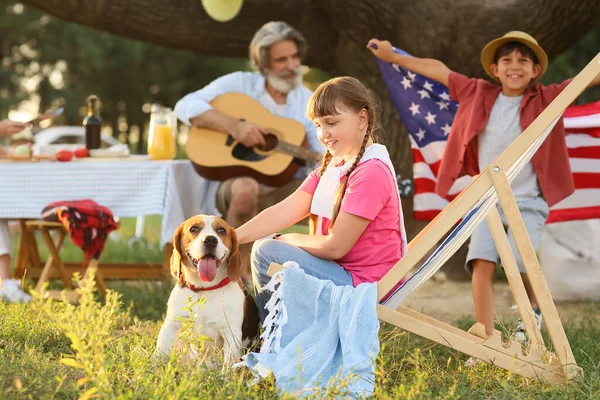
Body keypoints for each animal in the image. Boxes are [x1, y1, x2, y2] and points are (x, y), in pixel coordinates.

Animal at [154, 216, 258, 362]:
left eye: (221, 230)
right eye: (193, 229)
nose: (210, 240)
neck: (205, 288)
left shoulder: (231, 332)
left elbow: (228, 363)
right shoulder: (171, 324)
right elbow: (159, 353)